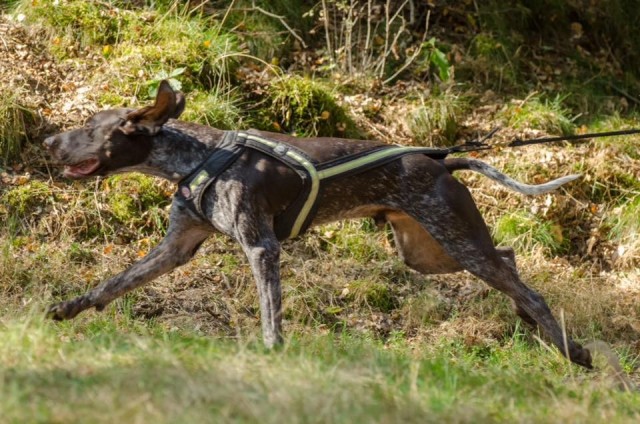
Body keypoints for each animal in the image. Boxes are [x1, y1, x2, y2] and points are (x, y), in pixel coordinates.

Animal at [45, 80, 592, 368]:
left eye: (90, 127)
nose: (48, 141)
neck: (197, 157)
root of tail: (442, 161)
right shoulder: (176, 247)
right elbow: (116, 282)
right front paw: (71, 307)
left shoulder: (261, 247)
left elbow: (271, 314)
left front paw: (272, 354)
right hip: (427, 252)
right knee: (509, 259)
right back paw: (528, 319)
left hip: (455, 240)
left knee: (528, 287)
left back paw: (573, 351)